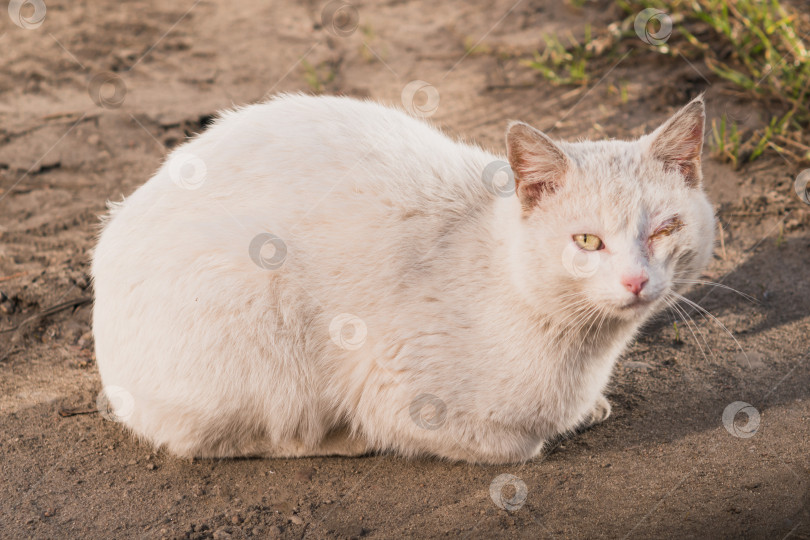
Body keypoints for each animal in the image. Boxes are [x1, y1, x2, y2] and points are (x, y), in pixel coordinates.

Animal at [93, 93, 712, 464]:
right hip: (254, 306)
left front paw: (593, 409)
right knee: (234, 437)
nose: (635, 281)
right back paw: (342, 438)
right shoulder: (401, 390)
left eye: (665, 228)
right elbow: (513, 446)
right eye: (587, 242)